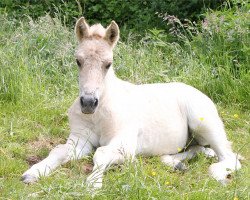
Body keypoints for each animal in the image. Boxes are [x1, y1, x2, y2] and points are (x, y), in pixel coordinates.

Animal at [22, 17, 242, 189]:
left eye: (108, 64)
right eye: (78, 61)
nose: (88, 103)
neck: (99, 113)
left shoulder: (125, 143)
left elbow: (101, 154)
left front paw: (93, 183)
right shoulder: (80, 138)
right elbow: (59, 150)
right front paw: (33, 173)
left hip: (203, 123)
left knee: (230, 157)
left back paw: (218, 175)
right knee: (199, 150)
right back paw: (175, 164)